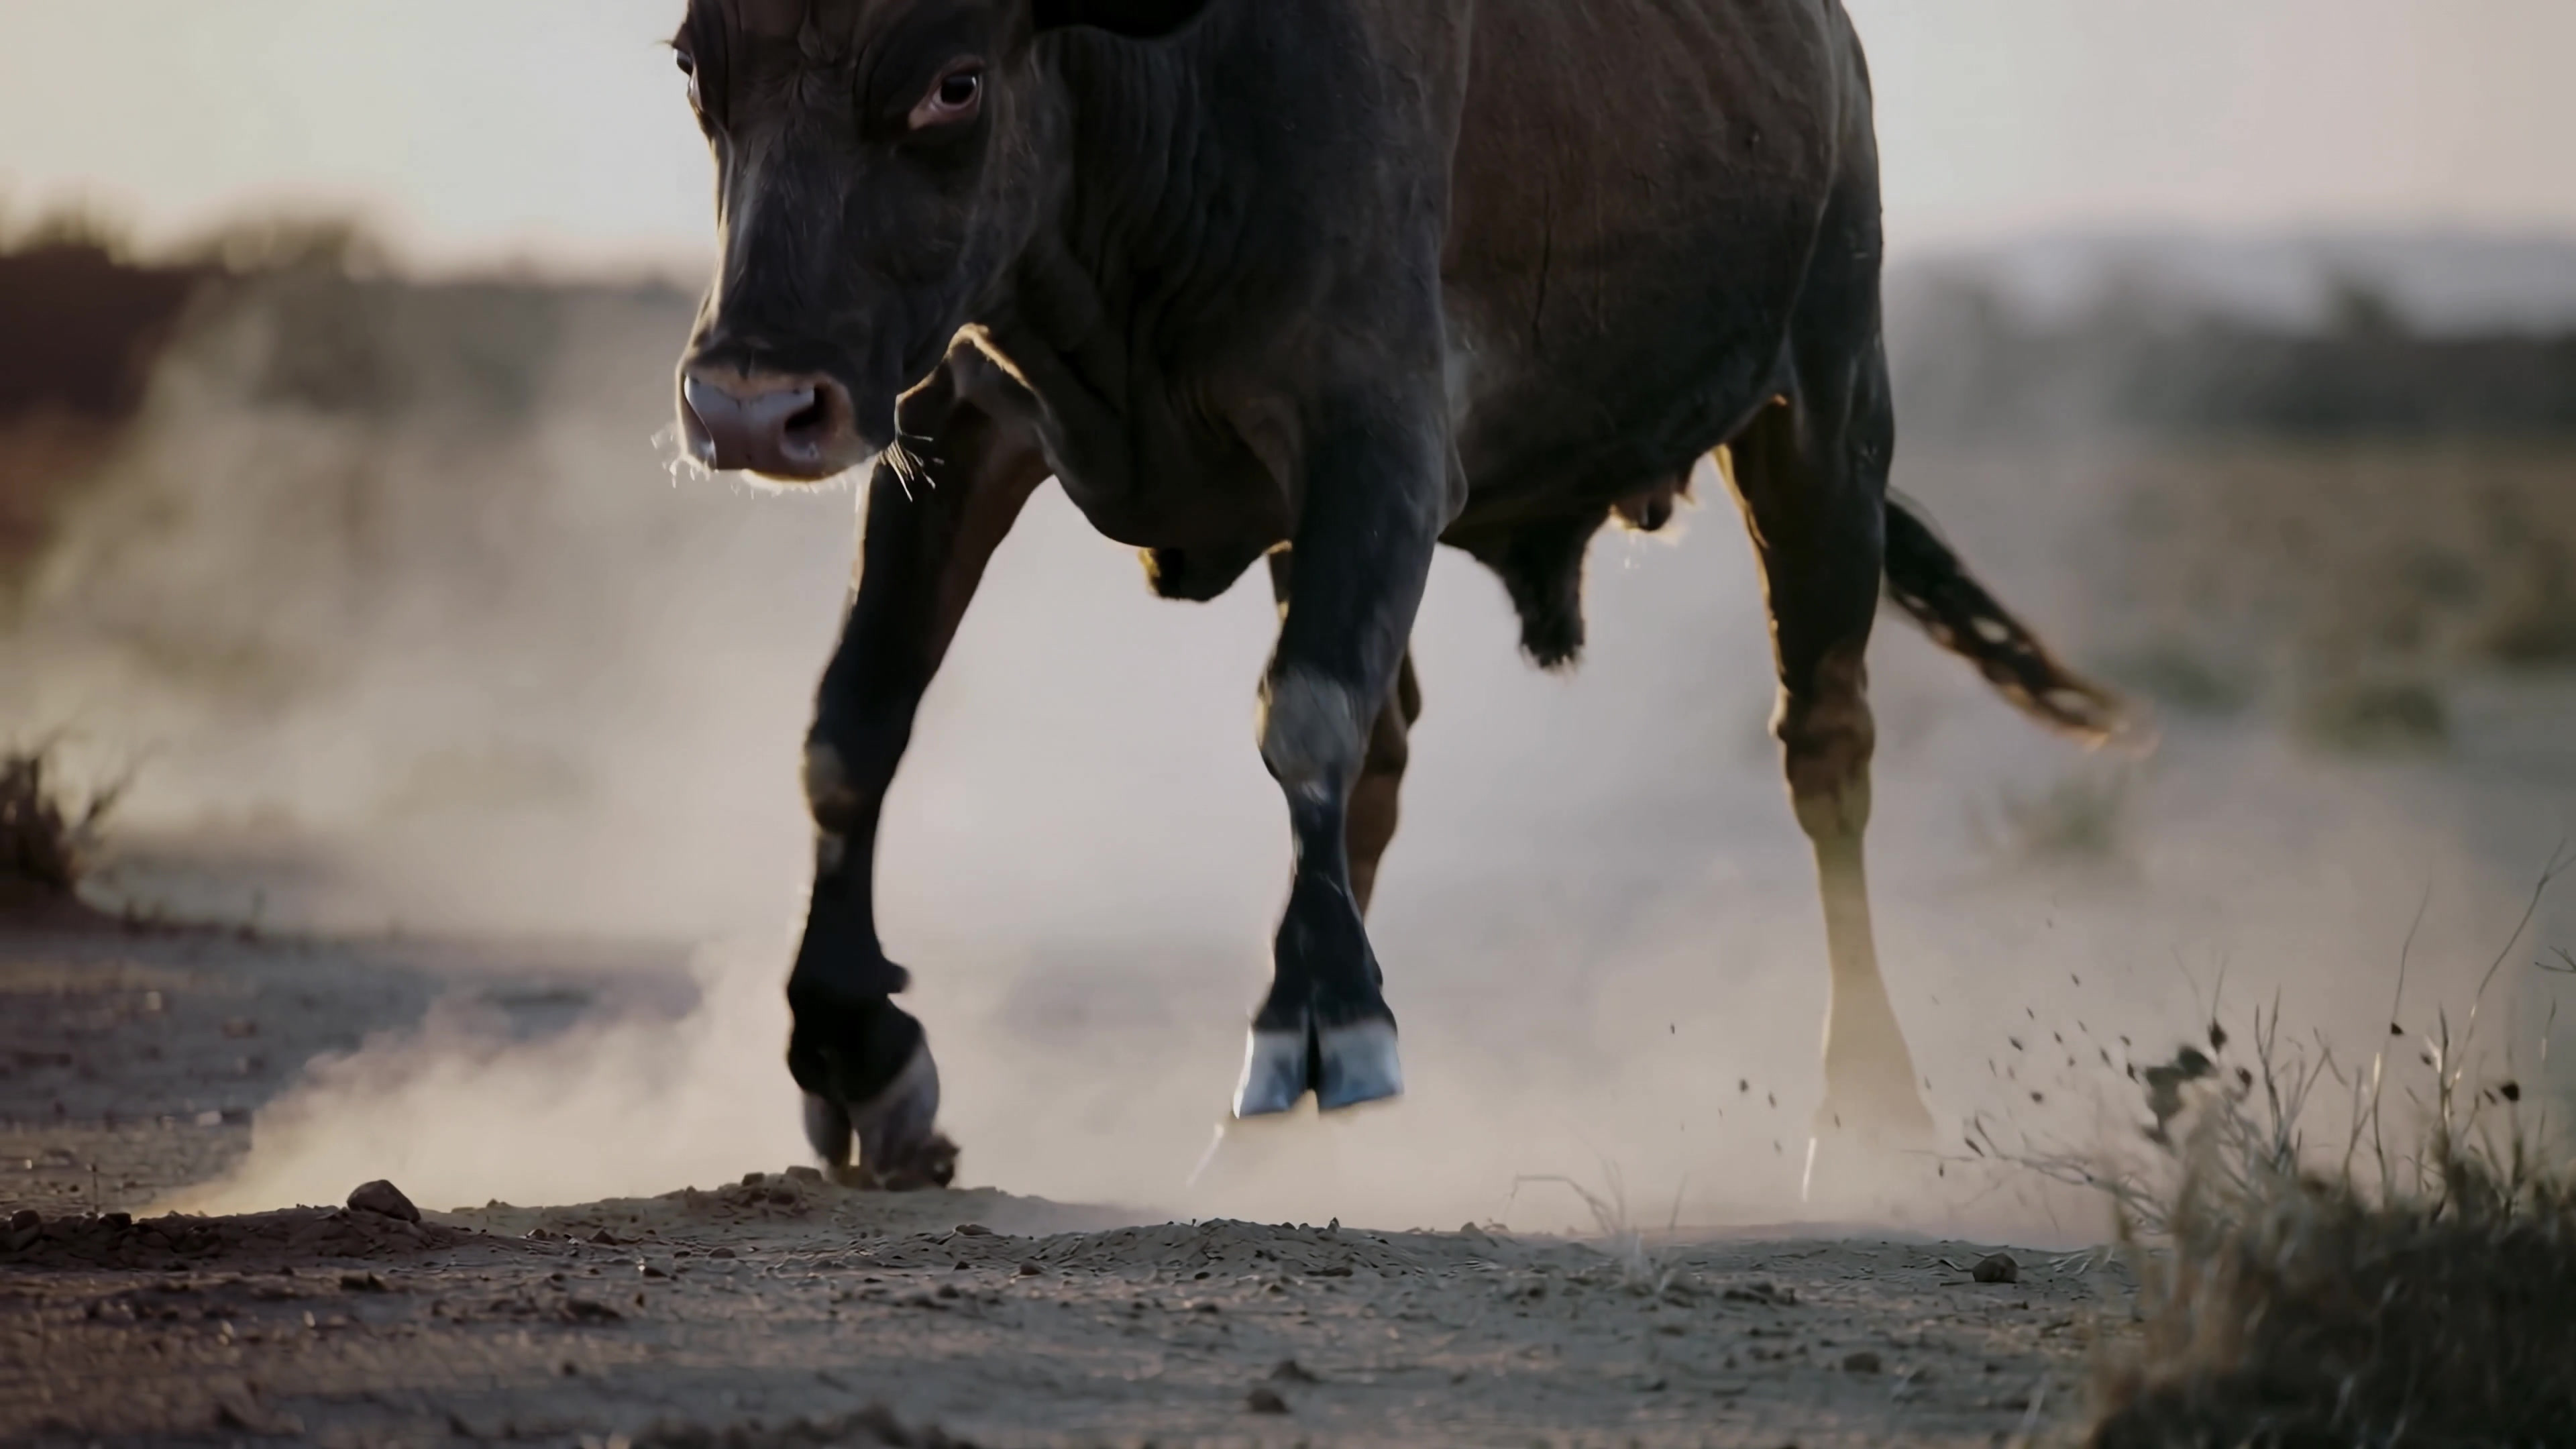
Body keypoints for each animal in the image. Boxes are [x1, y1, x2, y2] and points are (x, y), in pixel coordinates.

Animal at [667, 0, 2130, 1188]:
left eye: (953, 84)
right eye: (694, 63)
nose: (746, 405)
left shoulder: (1378, 438)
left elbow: (1303, 718)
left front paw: (1326, 1028)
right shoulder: (950, 415)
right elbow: (856, 719)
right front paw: (857, 1050)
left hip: (1825, 409)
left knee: (1825, 748)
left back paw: (1870, 1114)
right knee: (1383, 761)